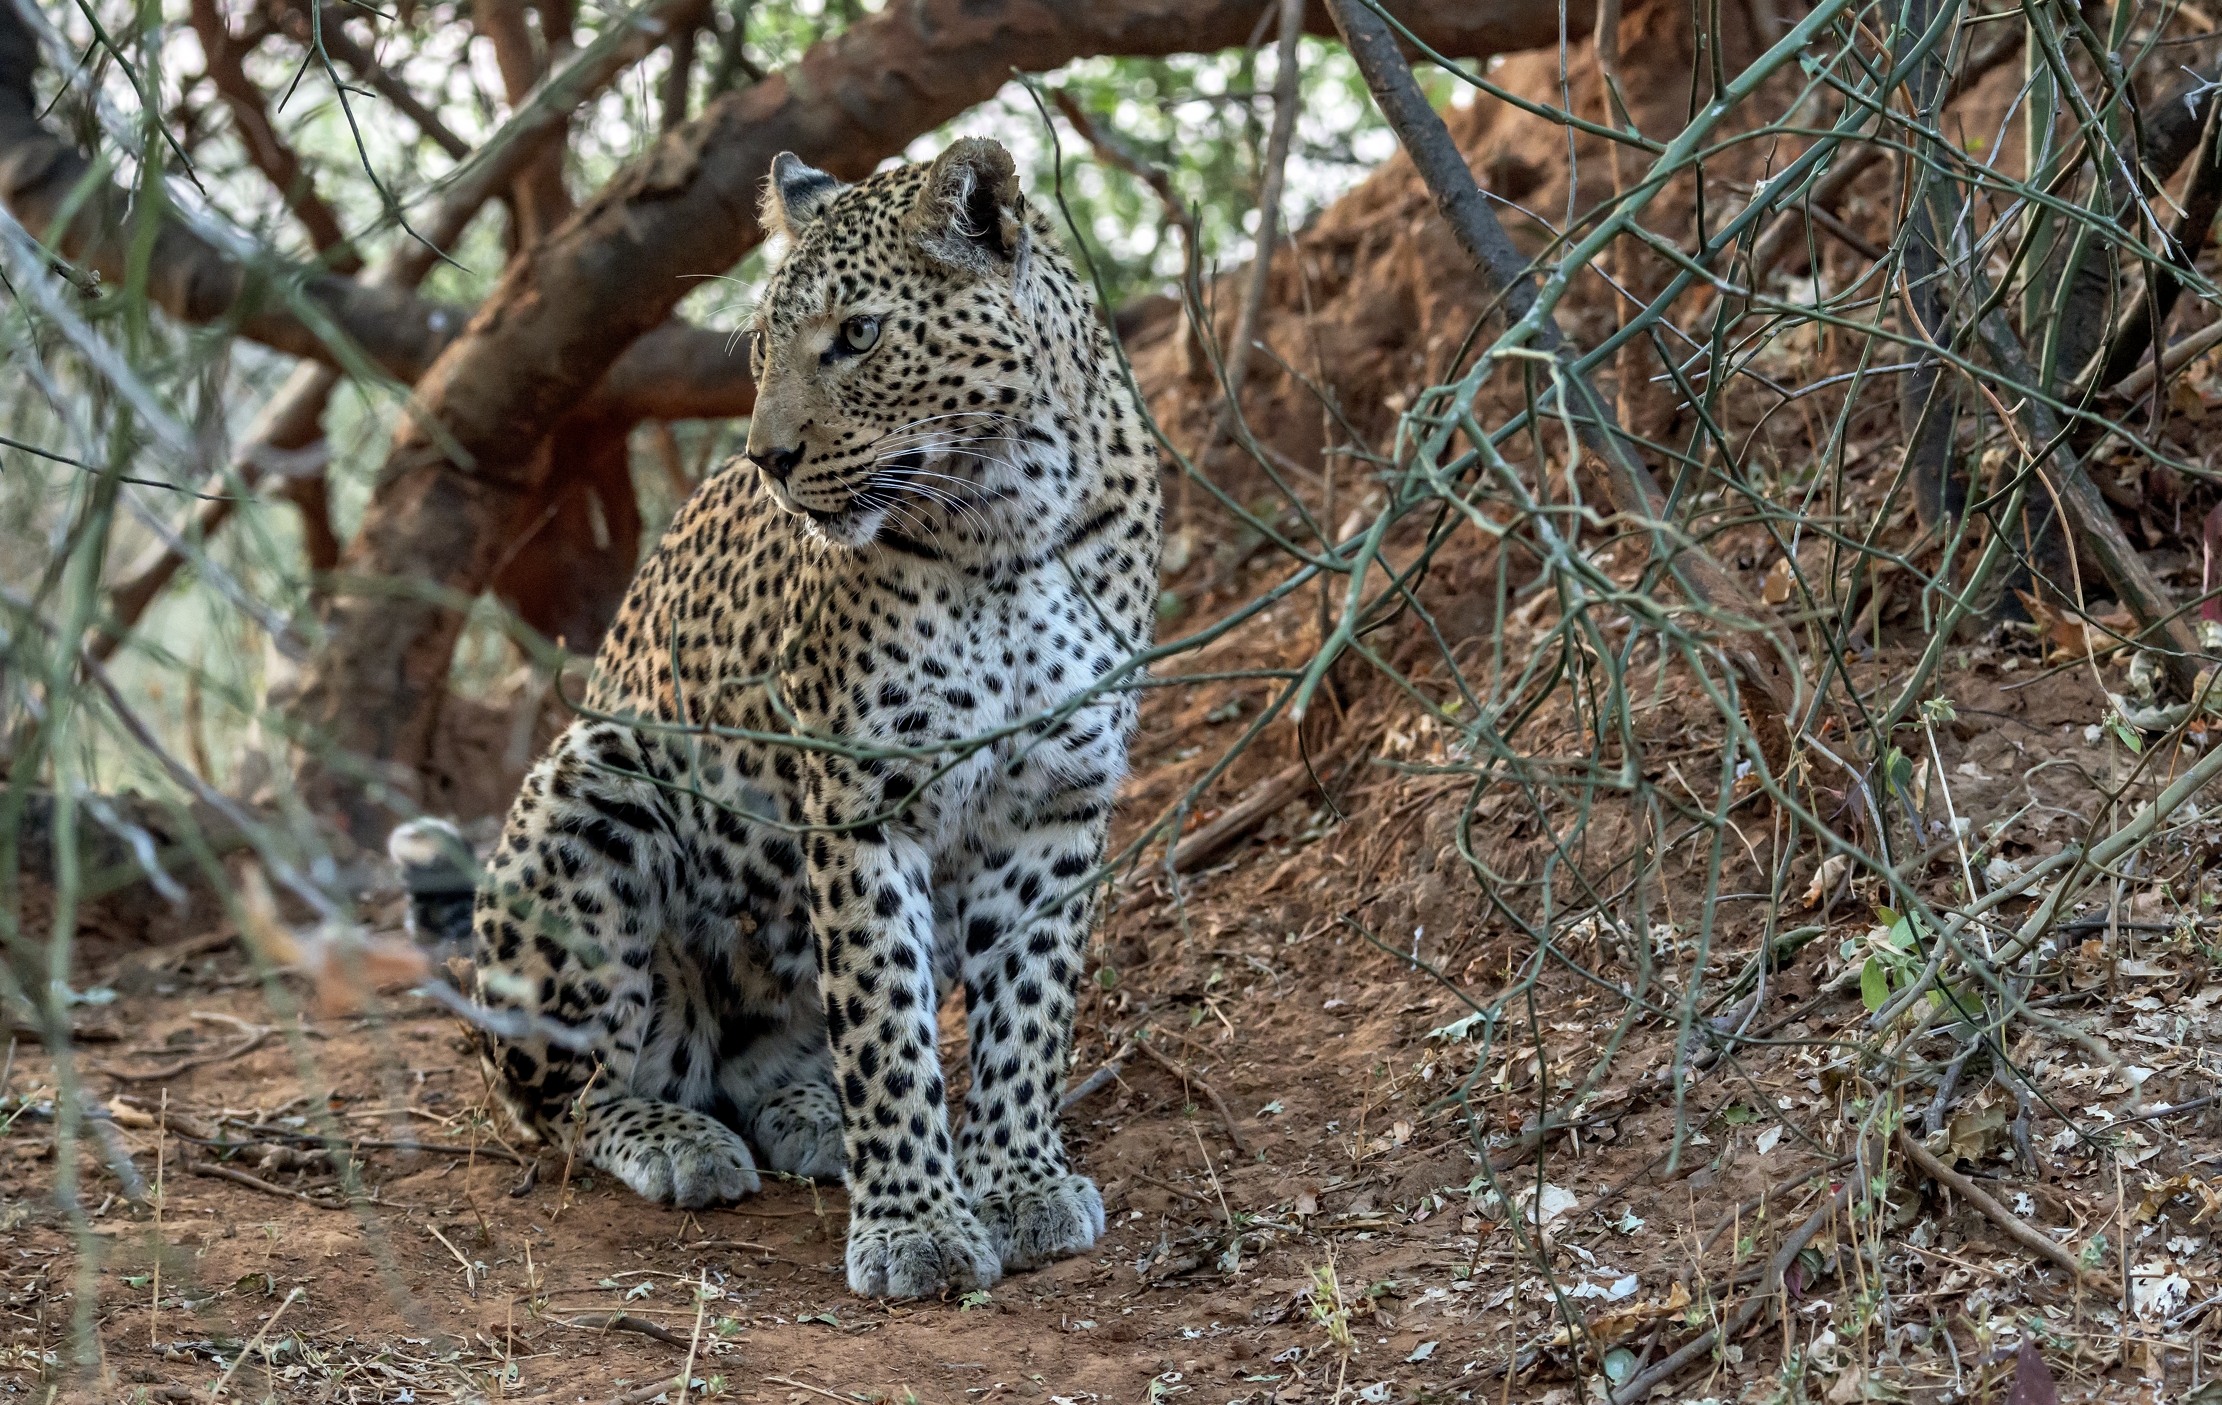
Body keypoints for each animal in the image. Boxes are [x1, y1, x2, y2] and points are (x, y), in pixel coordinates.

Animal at [393, 136, 1162, 1300]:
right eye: (759, 351)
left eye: (858, 336)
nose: (769, 460)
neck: (1003, 519)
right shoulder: (860, 796)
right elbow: (884, 1018)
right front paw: (915, 1223)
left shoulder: (1058, 798)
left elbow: (1029, 1005)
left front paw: (1019, 1178)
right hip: (591, 785)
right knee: (559, 1100)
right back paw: (677, 1139)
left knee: (766, 1064)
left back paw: (812, 1116)